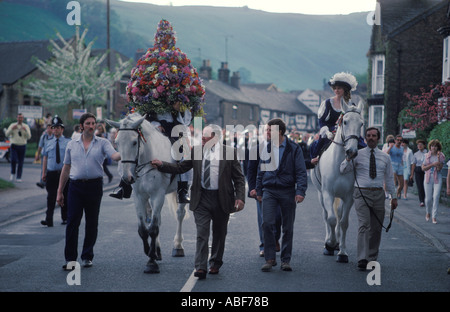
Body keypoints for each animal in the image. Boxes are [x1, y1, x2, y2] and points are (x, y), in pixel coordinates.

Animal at [107, 112, 188, 272]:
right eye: (117, 142)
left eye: (134, 142)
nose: (127, 178)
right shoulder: (140, 197)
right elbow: (144, 229)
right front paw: (151, 253)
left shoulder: (158, 195)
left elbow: (153, 228)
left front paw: (151, 262)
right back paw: (158, 250)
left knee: (180, 214)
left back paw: (178, 246)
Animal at [312, 100, 364, 264]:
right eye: (345, 121)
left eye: (361, 123)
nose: (352, 151)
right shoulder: (327, 193)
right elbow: (331, 219)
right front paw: (330, 243)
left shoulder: (348, 197)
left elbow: (343, 222)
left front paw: (342, 252)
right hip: (320, 194)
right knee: (326, 215)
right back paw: (329, 242)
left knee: (339, 215)